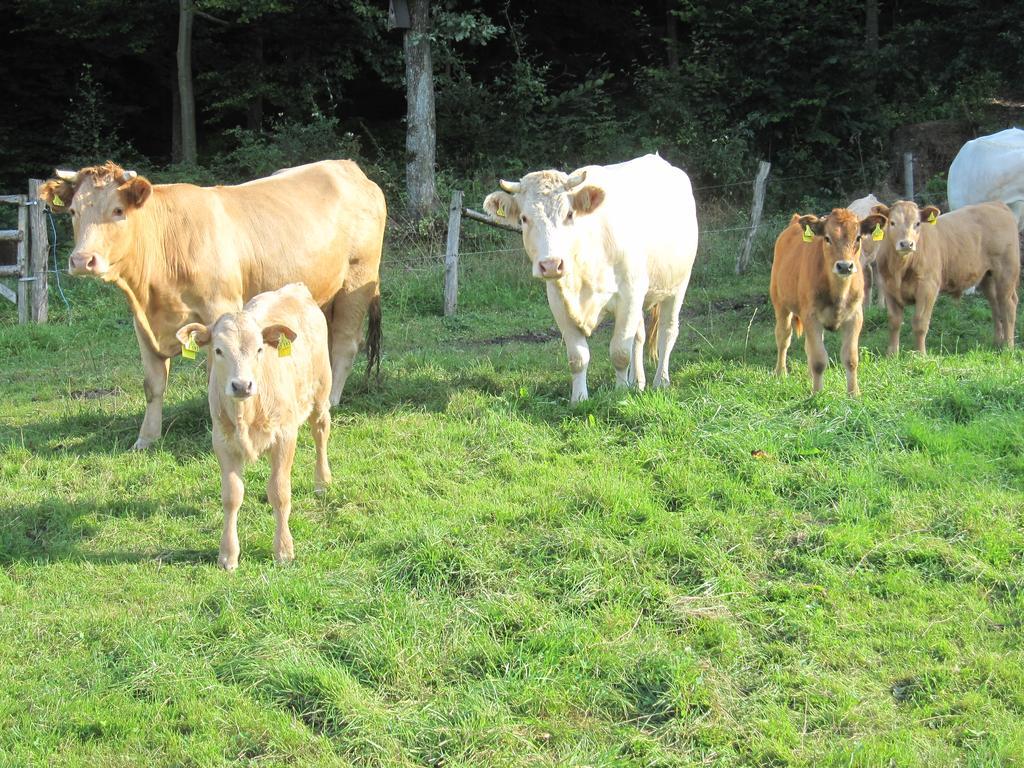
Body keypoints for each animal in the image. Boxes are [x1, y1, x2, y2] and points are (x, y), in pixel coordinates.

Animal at [37, 161, 385, 450]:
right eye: (73, 212)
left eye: (118, 210)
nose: (82, 260)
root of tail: (347, 167)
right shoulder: (142, 324)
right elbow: (153, 384)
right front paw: (146, 438)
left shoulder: (221, 310)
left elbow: (214, 376)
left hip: (357, 278)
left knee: (345, 343)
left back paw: (333, 398)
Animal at [176, 284, 331, 573]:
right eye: (218, 350)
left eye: (259, 349)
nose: (241, 385)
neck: (245, 414)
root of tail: (294, 288)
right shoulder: (222, 442)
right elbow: (231, 495)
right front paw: (228, 555)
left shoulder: (285, 436)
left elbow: (280, 492)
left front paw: (284, 550)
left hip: (320, 390)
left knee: (320, 431)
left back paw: (322, 481)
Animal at [483, 151, 700, 403]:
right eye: (524, 218)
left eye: (569, 214)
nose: (551, 264)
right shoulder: (559, 301)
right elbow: (578, 357)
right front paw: (579, 399)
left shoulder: (629, 295)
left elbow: (620, 351)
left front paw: (620, 393)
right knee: (639, 336)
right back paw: (637, 382)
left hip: (678, 284)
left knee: (667, 332)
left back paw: (661, 382)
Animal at [770, 207, 884, 397]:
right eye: (827, 238)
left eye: (858, 237)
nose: (845, 266)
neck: (838, 292)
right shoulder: (811, 317)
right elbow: (818, 360)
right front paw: (817, 393)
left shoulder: (855, 317)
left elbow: (850, 358)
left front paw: (854, 393)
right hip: (780, 304)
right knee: (783, 338)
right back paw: (781, 373)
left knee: (808, 347)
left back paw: (809, 376)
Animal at [872, 198, 1015, 354]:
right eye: (892, 222)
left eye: (917, 223)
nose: (906, 244)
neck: (900, 269)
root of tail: (996, 204)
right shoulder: (889, 288)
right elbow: (894, 322)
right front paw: (892, 354)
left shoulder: (928, 288)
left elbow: (920, 323)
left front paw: (920, 355)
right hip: (987, 276)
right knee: (995, 305)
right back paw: (997, 342)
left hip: (1006, 271)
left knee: (1008, 305)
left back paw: (1008, 346)